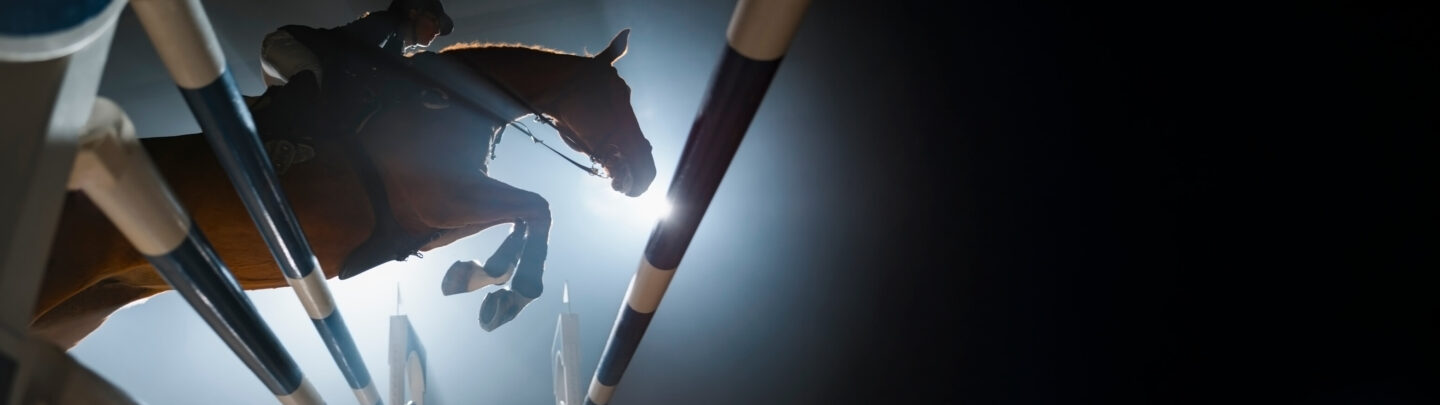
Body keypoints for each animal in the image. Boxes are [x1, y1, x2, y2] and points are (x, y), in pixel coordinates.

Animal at [30, 29, 656, 350]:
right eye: (615, 95)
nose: (646, 175)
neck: (443, 102)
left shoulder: (432, 219)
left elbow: (521, 217)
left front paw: (475, 278)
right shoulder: (444, 195)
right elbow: (538, 207)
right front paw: (508, 297)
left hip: (79, 309)